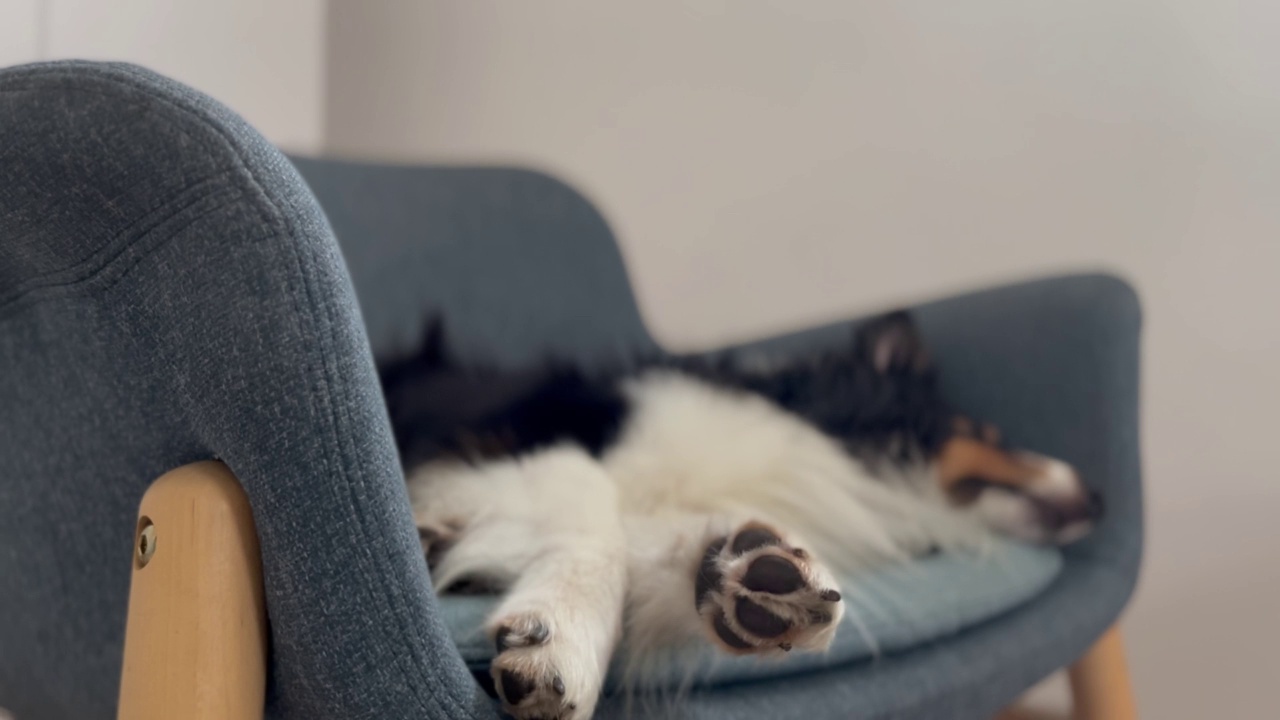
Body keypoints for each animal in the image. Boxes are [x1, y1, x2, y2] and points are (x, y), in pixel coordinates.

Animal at [376, 310, 1100, 717]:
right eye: (986, 434)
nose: (1100, 497)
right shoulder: (501, 438)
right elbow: (593, 501)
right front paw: (563, 635)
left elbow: (665, 542)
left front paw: (750, 576)